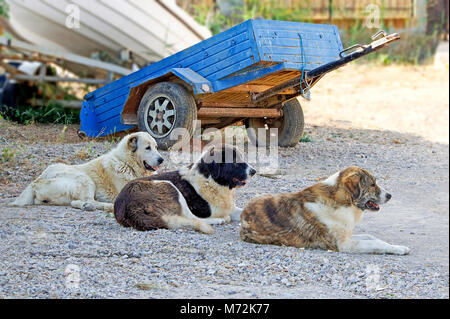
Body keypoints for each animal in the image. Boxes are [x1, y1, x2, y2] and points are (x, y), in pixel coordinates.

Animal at [9, 132, 164, 212]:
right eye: (148, 148)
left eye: (156, 147)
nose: (161, 159)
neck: (127, 163)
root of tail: (35, 181)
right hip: (84, 179)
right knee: (88, 200)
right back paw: (104, 206)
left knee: (76, 202)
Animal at [114, 145, 255, 235]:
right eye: (235, 162)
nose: (254, 171)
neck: (211, 181)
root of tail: (126, 208)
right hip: (169, 186)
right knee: (193, 218)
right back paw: (220, 220)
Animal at [241, 168, 410, 255]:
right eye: (372, 184)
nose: (390, 195)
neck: (342, 200)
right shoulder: (344, 245)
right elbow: (375, 243)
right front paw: (399, 249)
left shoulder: (347, 235)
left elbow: (371, 237)